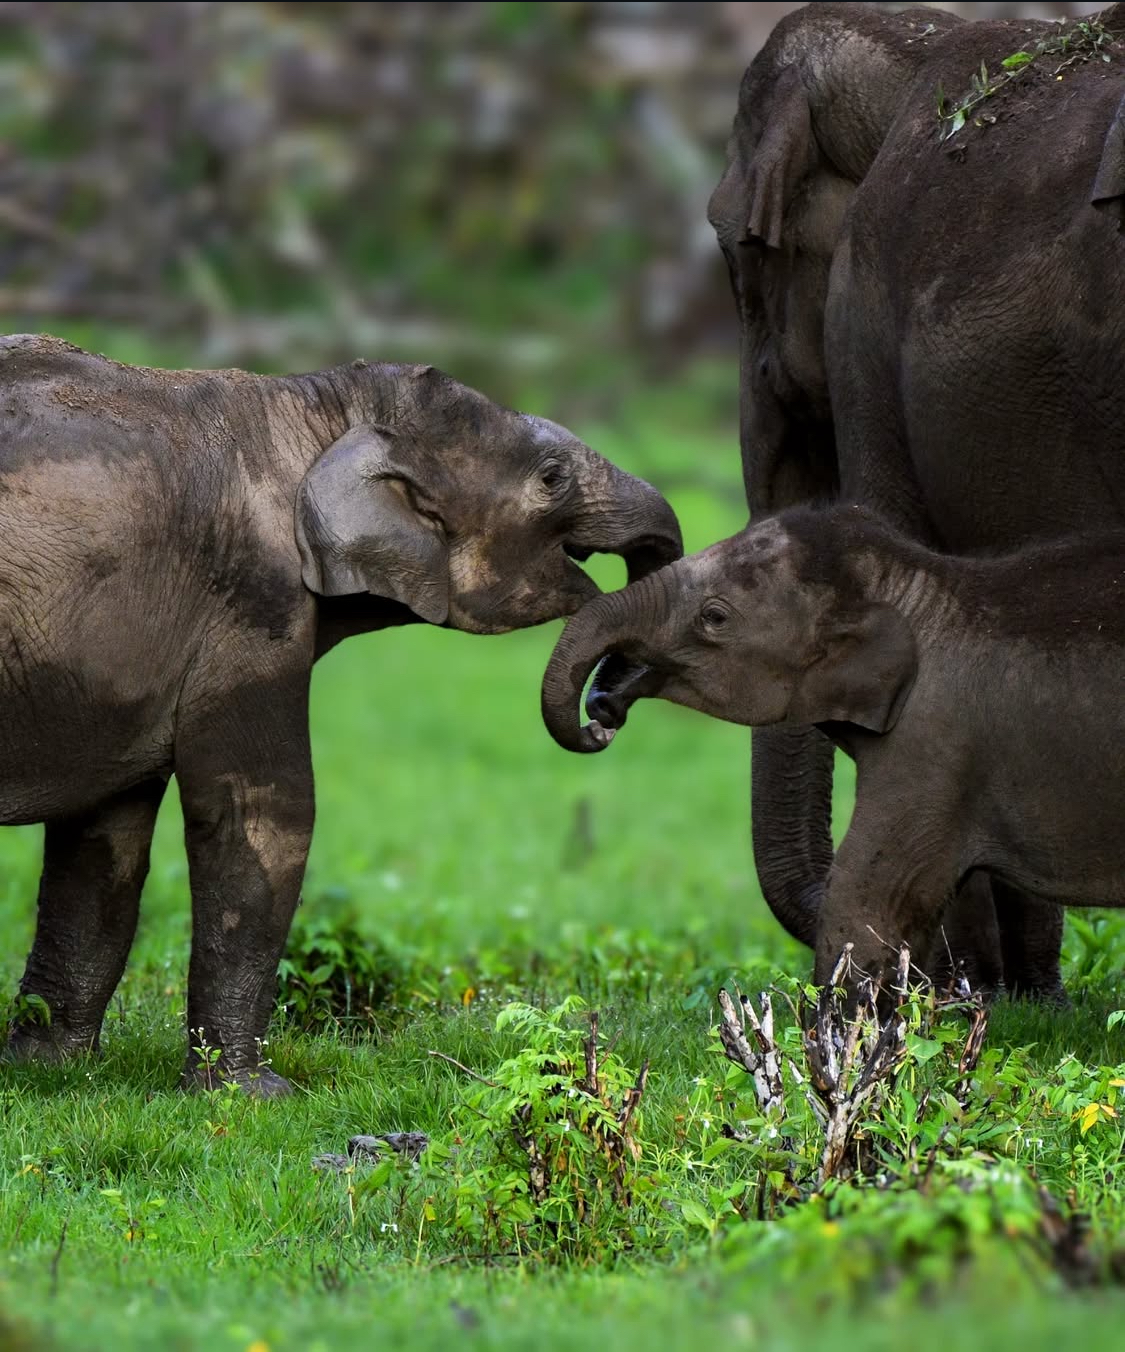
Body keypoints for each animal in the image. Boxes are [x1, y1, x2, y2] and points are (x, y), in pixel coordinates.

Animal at [0, 333, 681, 1095]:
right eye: (552, 478)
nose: (602, 716)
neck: (318, 405)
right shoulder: (253, 602)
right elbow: (263, 812)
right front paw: (253, 1098)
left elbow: (102, 836)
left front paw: (50, 1074)